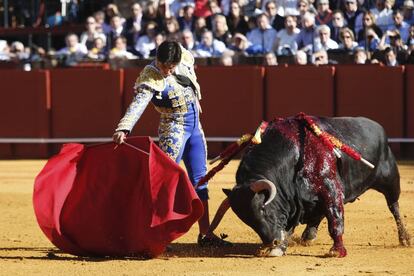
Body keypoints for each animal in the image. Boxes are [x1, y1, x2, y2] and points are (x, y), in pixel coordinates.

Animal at [225, 116, 412, 256]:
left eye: (263, 209)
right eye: (246, 220)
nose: (272, 241)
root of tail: (379, 129)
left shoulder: (331, 188)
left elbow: (335, 218)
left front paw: (336, 251)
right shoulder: (298, 201)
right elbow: (294, 224)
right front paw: (279, 247)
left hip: (390, 180)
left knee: (394, 206)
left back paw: (404, 238)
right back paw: (308, 236)